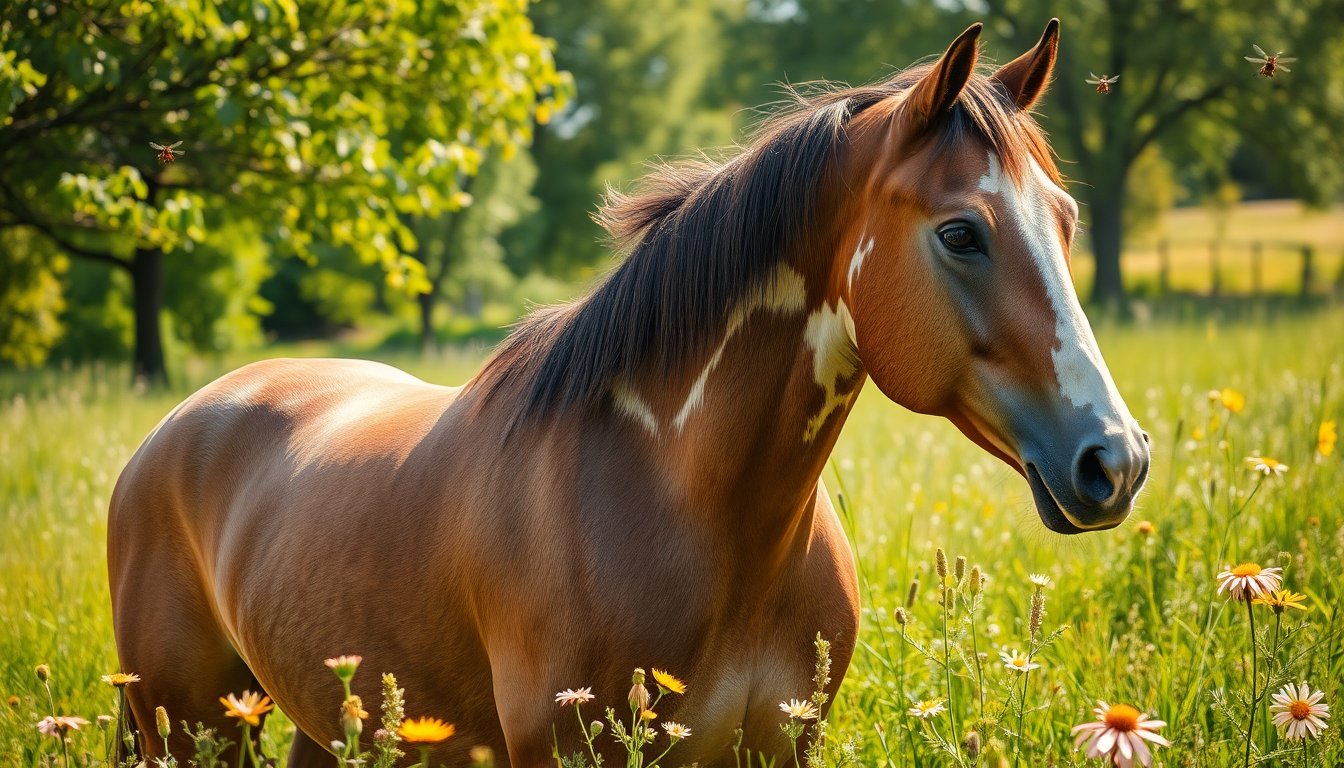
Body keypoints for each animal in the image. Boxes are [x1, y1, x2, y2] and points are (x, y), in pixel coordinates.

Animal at [108, 19, 1150, 767]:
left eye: (1065, 219)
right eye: (961, 232)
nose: (1117, 460)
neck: (679, 500)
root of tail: (174, 430)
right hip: (193, 726)